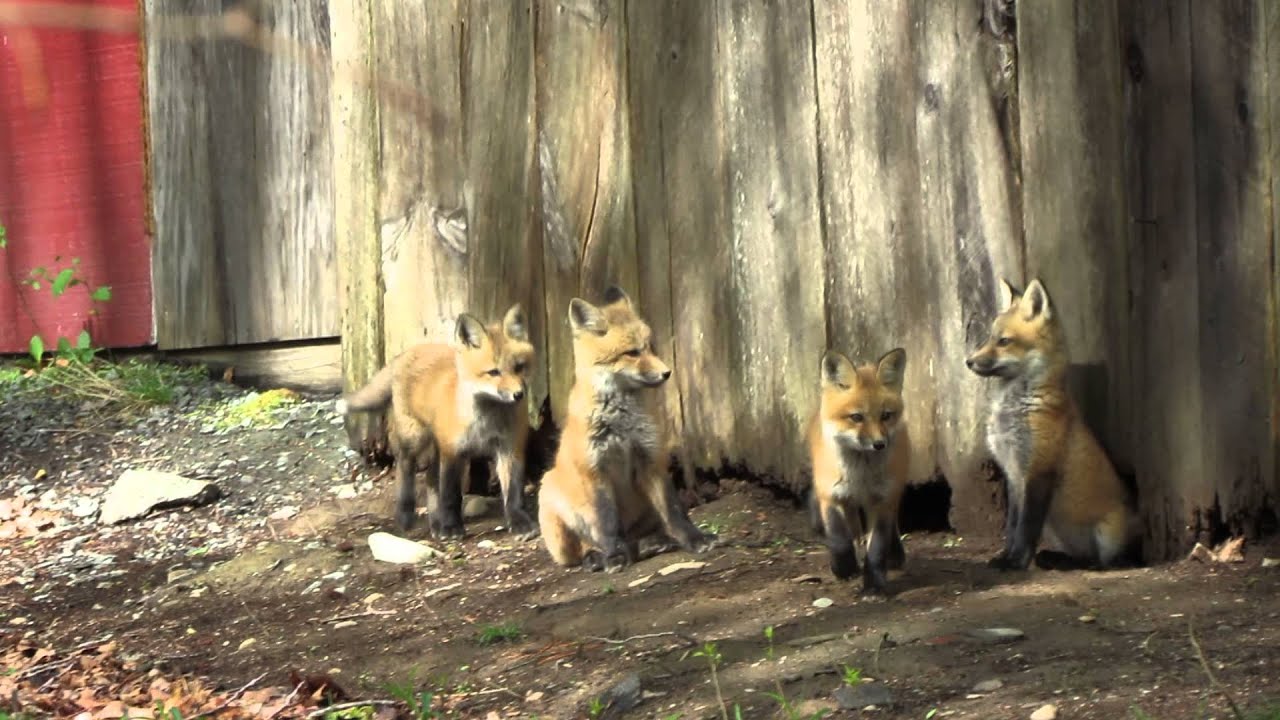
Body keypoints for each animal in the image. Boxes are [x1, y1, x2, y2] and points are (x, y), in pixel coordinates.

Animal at [335, 304, 540, 542]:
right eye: (493, 372)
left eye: (519, 367)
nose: (519, 394)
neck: (487, 420)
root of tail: (410, 352)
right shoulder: (452, 451)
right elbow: (451, 496)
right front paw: (451, 527)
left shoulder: (509, 448)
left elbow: (513, 493)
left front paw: (519, 522)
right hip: (415, 439)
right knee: (405, 468)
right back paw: (406, 516)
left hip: (434, 448)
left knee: (431, 481)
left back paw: (434, 522)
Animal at [537, 286, 716, 572]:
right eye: (632, 352)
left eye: (649, 346)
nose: (667, 373)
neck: (620, 423)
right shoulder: (595, 471)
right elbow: (608, 524)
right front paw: (614, 557)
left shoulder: (651, 461)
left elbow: (675, 512)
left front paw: (695, 539)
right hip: (550, 496)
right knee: (582, 550)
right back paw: (598, 557)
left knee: (644, 536)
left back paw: (653, 543)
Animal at [806, 347, 910, 595]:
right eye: (856, 417)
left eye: (886, 415)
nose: (880, 444)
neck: (860, 477)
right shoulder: (830, 495)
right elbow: (839, 539)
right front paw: (844, 568)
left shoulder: (882, 500)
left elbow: (877, 549)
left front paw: (874, 584)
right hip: (846, 500)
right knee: (852, 530)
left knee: (892, 525)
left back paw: (895, 554)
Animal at [965, 277, 1140, 571]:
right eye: (990, 338)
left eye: (1004, 341)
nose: (969, 361)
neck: (1015, 408)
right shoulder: (1013, 475)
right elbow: (1012, 527)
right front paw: (1005, 556)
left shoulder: (1039, 470)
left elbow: (1027, 528)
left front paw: (1016, 563)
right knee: (1082, 555)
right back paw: (1056, 559)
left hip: (1108, 536)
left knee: (1105, 562)